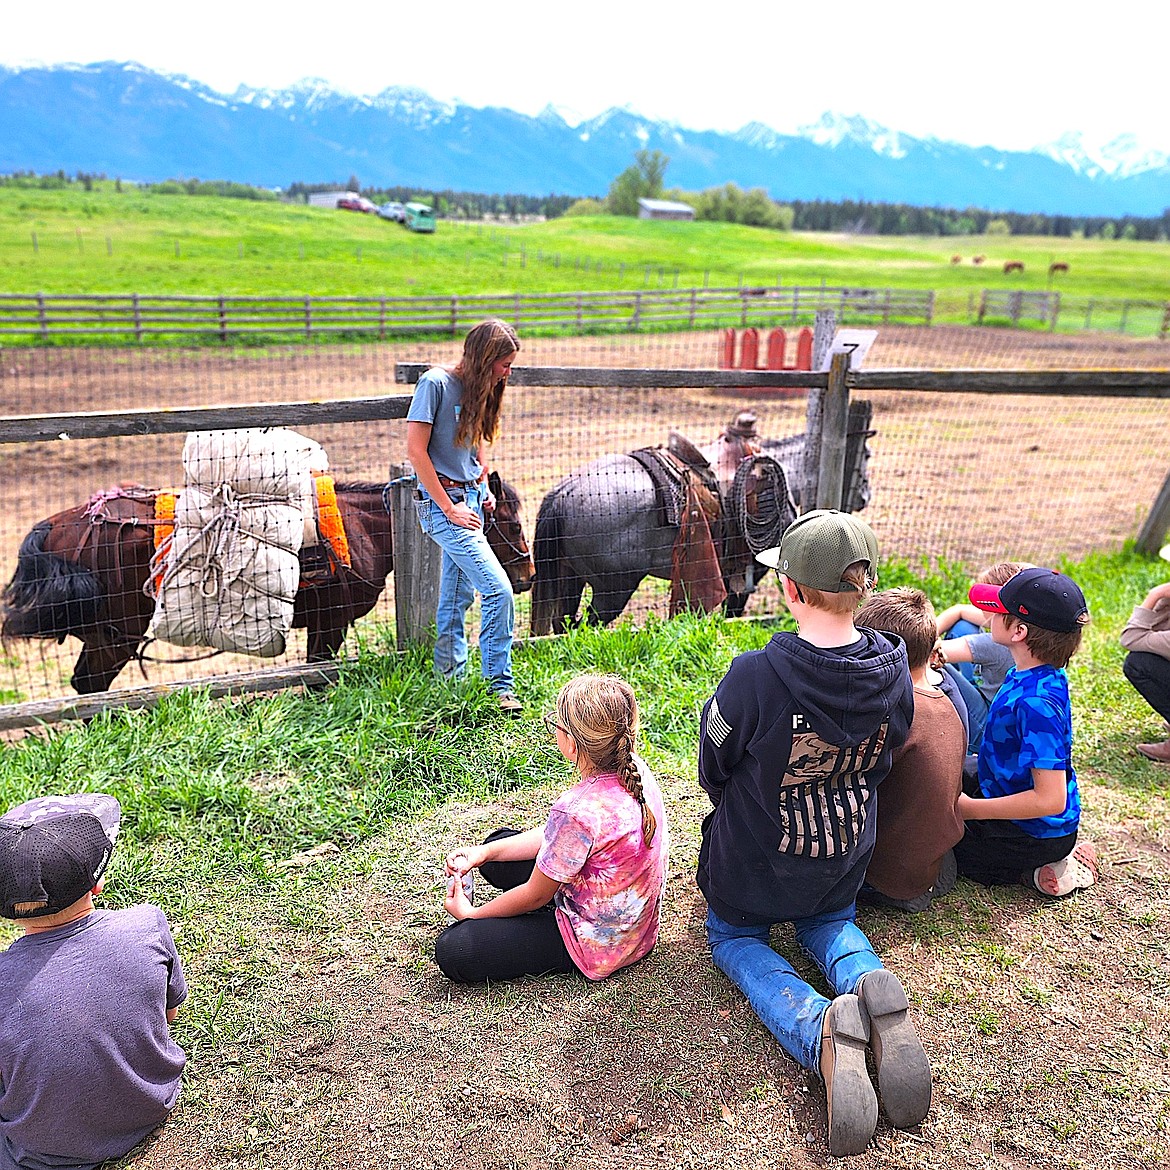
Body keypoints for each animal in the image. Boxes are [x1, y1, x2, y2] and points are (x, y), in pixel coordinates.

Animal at [2, 475, 533, 692]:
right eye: (508, 519)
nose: (527, 575)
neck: (361, 528)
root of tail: (65, 522)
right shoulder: (329, 623)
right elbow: (318, 675)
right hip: (115, 633)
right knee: (89, 685)